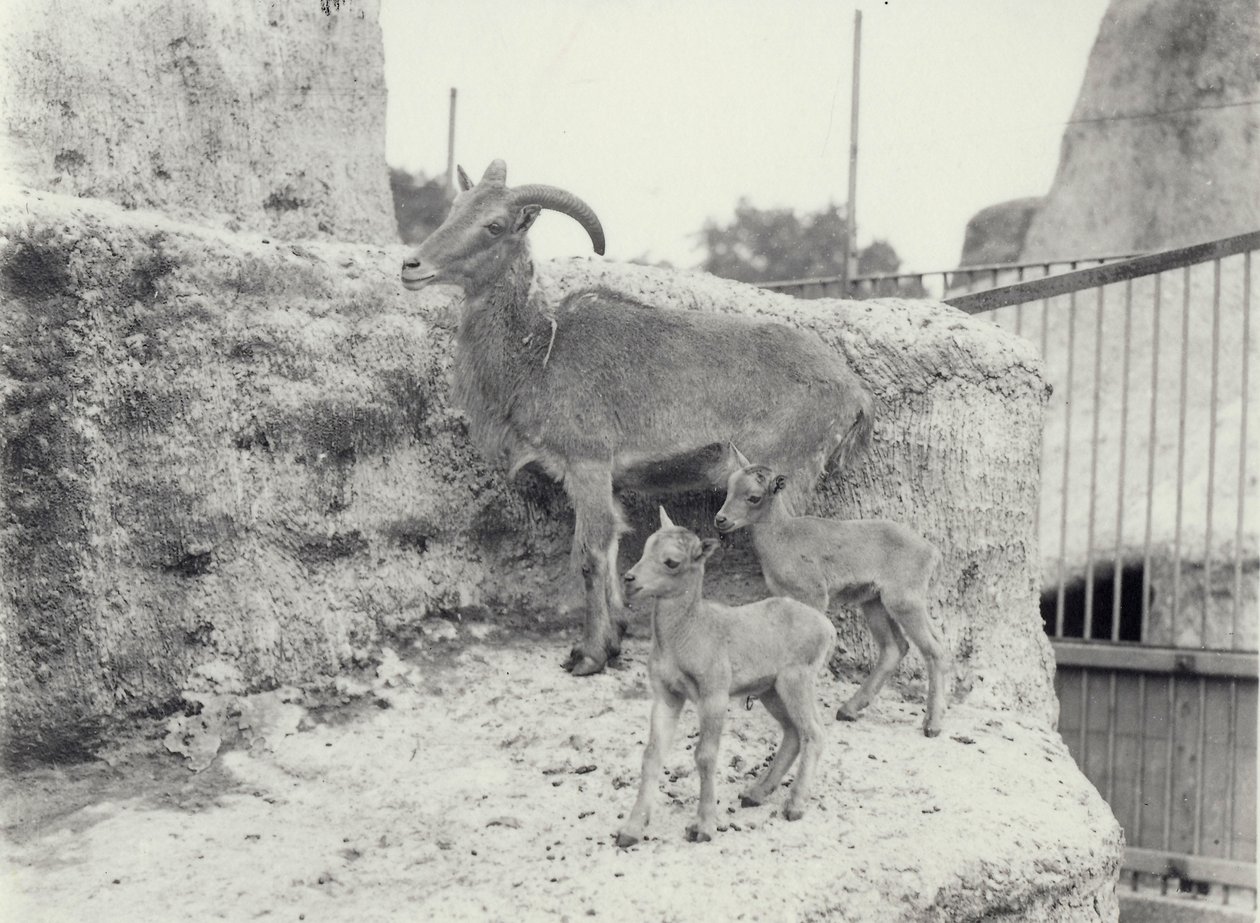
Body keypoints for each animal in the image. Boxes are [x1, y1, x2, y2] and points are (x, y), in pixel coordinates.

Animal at [403, 159, 876, 674]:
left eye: (494, 225)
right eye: (454, 209)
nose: (412, 266)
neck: (541, 353)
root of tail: (854, 391)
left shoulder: (587, 462)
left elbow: (590, 554)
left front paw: (589, 655)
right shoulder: (604, 479)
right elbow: (613, 547)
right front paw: (613, 638)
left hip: (784, 476)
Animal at [612, 508, 831, 846]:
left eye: (672, 561)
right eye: (647, 547)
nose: (629, 579)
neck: (689, 636)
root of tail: (827, 629)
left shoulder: (714, 692)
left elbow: (705, 755)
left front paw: (703, 826)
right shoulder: (666, 694)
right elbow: (651, 755)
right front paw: (631, 830)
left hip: (798, 679)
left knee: (814, 733)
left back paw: (794, 805)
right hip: (770, 689)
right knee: (793, 733)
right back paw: (755, 793)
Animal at [715, 443, 947, 740]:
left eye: (754, 497)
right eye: (729, 487)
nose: (721, 519)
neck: (785, 539)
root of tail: (932, 552)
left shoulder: (813, 594)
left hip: (905, 600)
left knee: (934, 648)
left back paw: (932, 725)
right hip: (875, 601)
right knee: (895, 647)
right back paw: (848, 710)